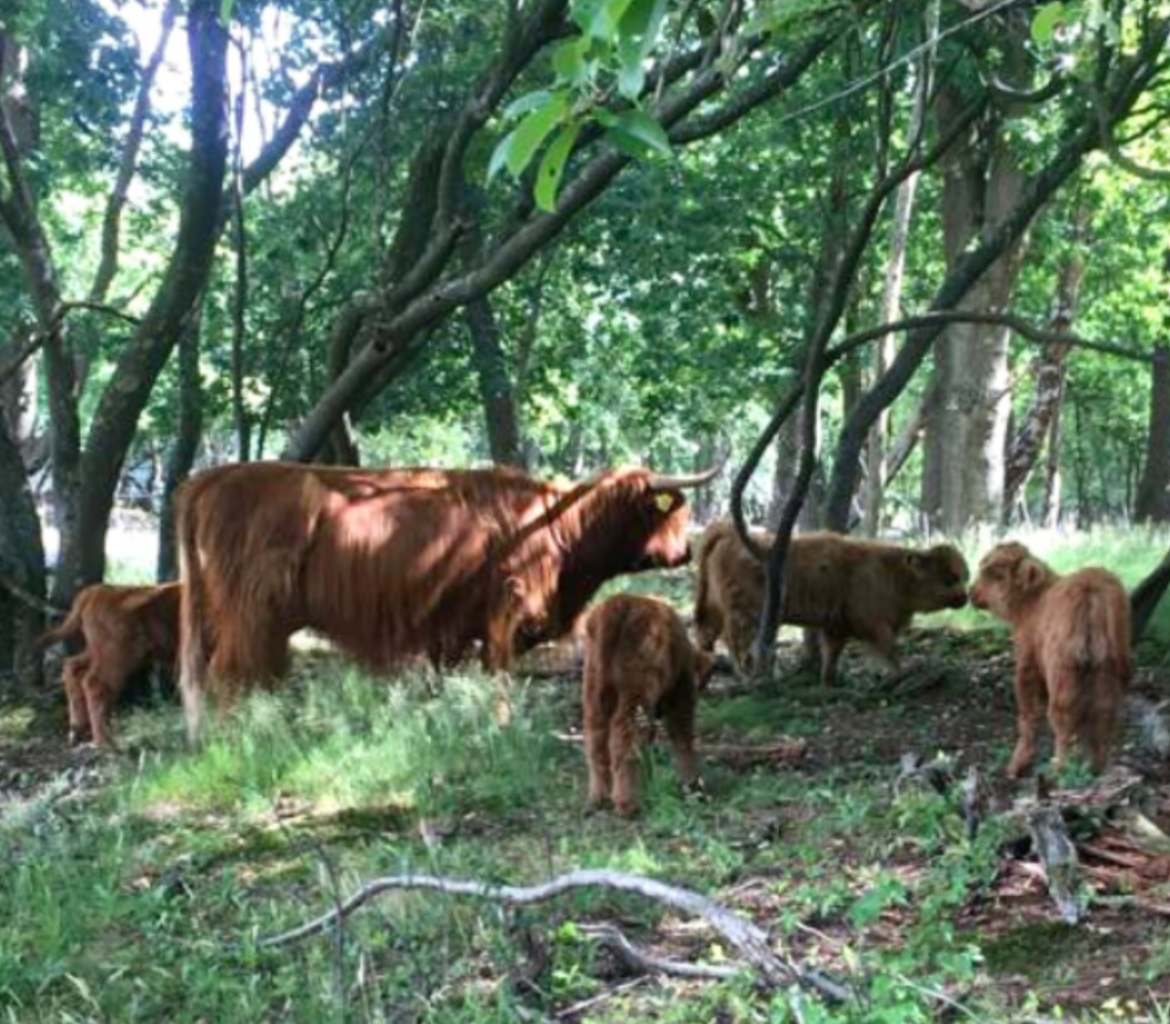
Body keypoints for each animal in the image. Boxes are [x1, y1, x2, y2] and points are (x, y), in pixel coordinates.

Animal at [37, 585, 179, 744]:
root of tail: (95, 591)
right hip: (117, 655)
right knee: (95, 683)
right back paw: (104, 741)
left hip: (95, 651)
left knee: (72, 667)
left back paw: (78, 731)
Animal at [173, 461, 711, 739]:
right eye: (669, 513)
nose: (687, 550)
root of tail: (208, 478)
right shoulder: (502, 614)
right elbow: (498, 676)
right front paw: (501, 726)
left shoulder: (447, 625)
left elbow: (445, 677)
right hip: (253, 615)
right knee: (232, 677)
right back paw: (244, 740)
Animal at [582, 592, 716, 819]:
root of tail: (620, 603)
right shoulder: (681, 693)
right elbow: (683, 737)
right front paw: (693, 784)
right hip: (635, 689)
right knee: (624, 738)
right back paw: (627, 804)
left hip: (595, 688)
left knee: (596, 739)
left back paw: (598, 798)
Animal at [692, 524, 968, 683]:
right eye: (950, 578)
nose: (965, 597)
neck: (892, 571)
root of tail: (727, 532)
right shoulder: (872, 622)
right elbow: (890, 648)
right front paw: (902, 672)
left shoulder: (836, 625)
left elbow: (832, 652)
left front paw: (830, 678)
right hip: (744, 614)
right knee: (734, 641)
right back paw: (748, 677)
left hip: (714, 607)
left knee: (706, 634)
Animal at [968, 545, 1132, 777]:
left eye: (997, 575)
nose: (971, 592)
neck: (1033, 601)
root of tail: (1091, 589)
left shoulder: (1027, 665)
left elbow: (1027, 715)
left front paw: (1017, 764)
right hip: (1109, 667)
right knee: (1103, 714)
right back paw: (1095, 767)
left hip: (1062, 673)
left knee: (1063, 719)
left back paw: (1058, 769)